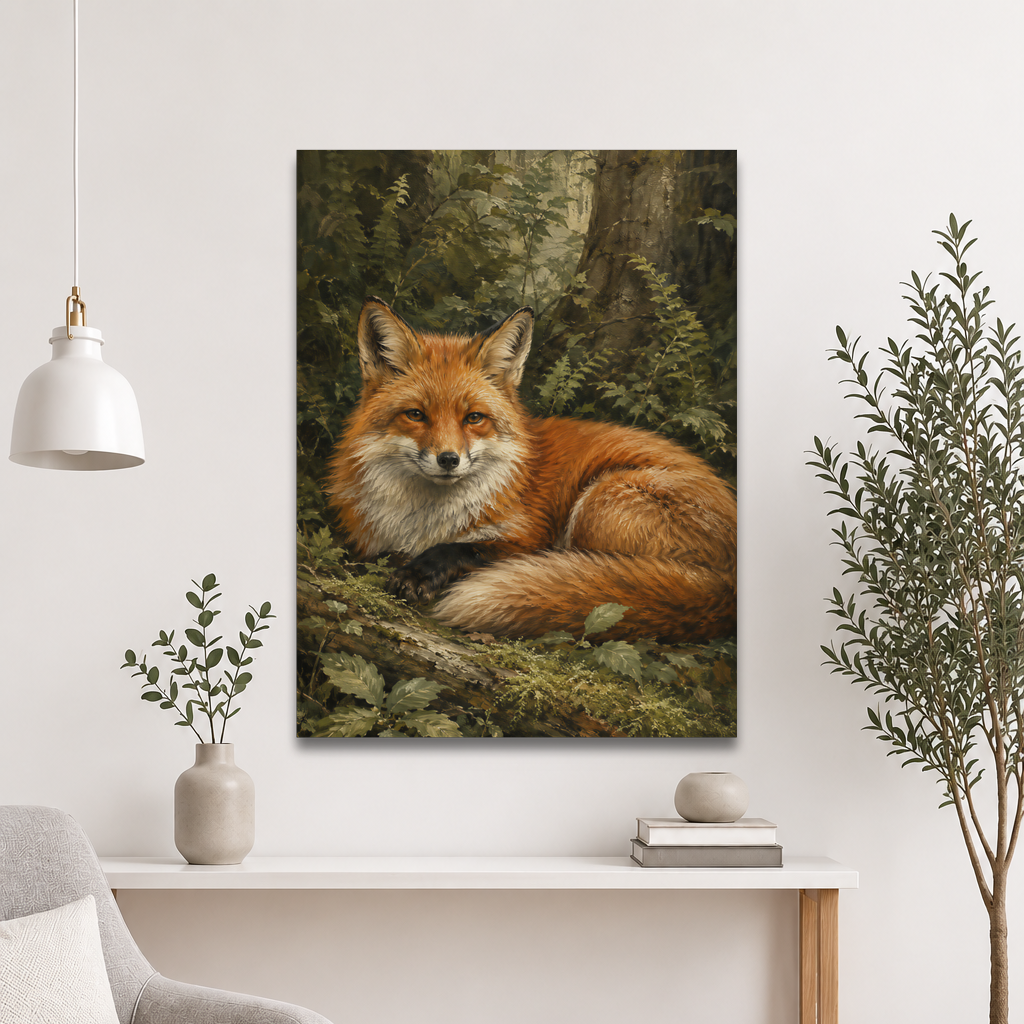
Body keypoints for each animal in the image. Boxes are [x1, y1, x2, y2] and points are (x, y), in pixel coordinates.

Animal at [326, 297, 737, 644]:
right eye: (416, 415)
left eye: (474, 418)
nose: (448, 459)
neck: (423, 521)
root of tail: (729, 587)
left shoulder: (528, 538)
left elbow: (466, 549)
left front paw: (419, 572)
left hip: (598, 502)